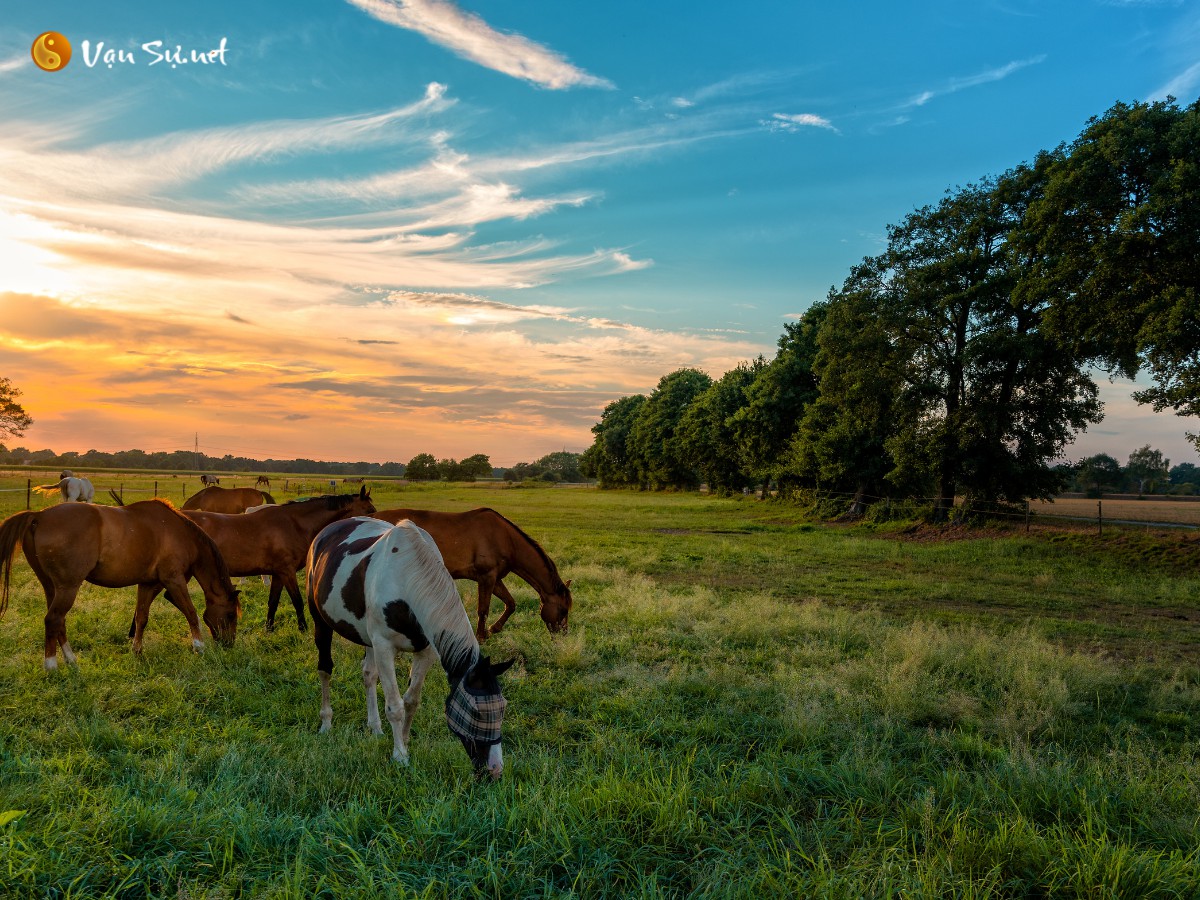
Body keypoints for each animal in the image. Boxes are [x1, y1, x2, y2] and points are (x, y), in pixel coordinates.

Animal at [0, 501, 241, 672]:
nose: (229, 645)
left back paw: (71, 661)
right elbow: (191, 613)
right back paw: (51, 667)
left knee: (59, 623)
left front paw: (137, 651)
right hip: (68, 587)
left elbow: (141, 618)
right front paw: (199, 647)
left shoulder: (147, 584)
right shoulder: (174, 580)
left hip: (51, 587)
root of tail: (38, 516)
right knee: (53, 620)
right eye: (231, 615)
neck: (179, 532)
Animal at [130, 487, 374, 633]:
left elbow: (273, 601)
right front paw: (303, 628)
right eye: (370, 509)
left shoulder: (278, 573)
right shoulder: (287, 572)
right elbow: (296, 600)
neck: (293, 523)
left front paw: (269, 628)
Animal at [307, 518, 513, 777]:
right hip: (321, 621)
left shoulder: (426, 651)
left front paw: (403, 742)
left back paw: (375, 728)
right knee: (325, 669)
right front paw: (400, 756)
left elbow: (411, 701)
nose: (494, 770)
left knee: (368, 675)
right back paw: (326, 722)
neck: (406, 577)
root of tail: (325, 532)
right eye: (476, 712)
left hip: (368, 639)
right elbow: (395, 706)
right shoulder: (385, 647)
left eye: (503, 708)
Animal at [369, 508, 571, 643]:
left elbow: (511, 603)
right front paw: (481, 637)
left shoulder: (495, 579)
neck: (505, 538)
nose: (563, 636)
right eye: (563, 610)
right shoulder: (486, 577)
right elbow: (483, 609)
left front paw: (492, 629)